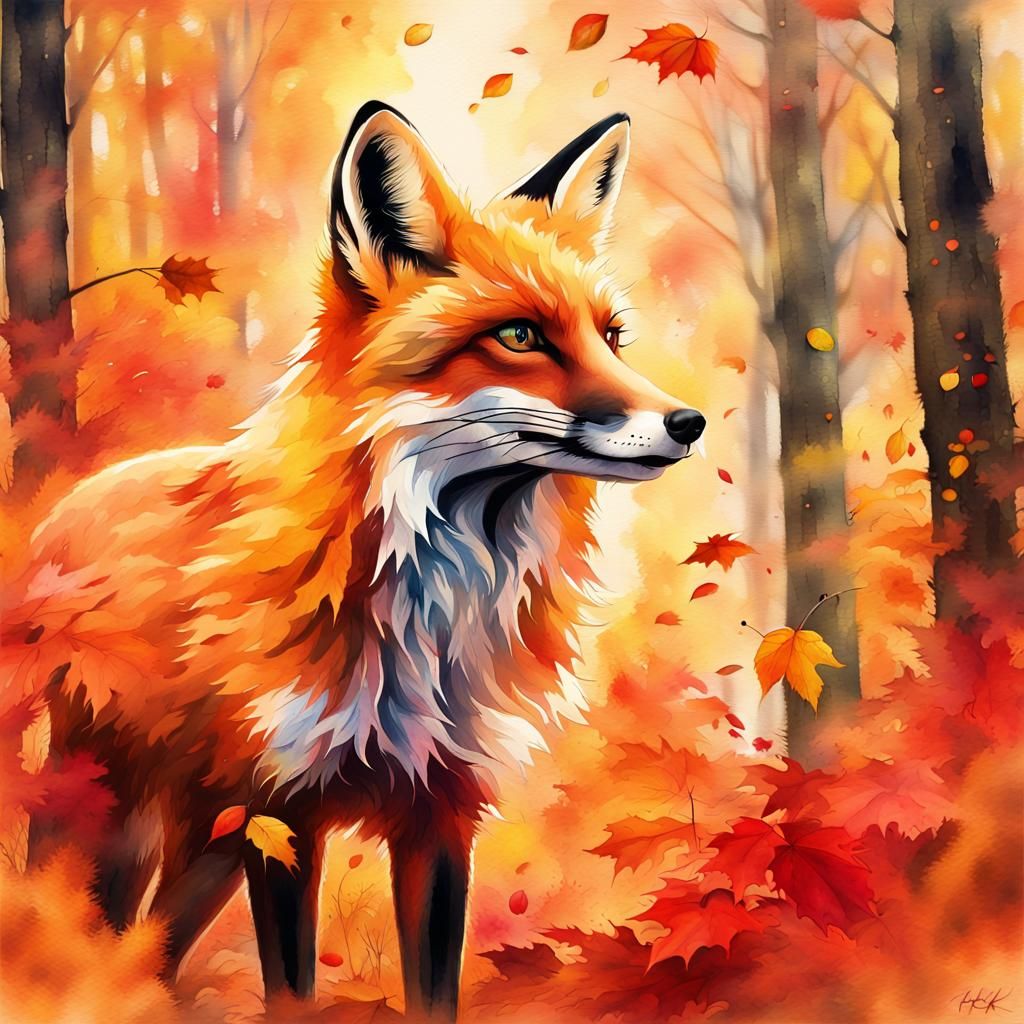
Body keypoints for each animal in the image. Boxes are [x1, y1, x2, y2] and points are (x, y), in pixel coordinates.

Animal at [4, 101, 706, 1019]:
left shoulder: (441, 810)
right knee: (92, 928)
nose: (688, 423)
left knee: (150, 947)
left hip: (206, 845)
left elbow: (434, 989)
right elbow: (293, 992)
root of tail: (75, 501)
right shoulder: (283, 817)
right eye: (521, 335)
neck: (430, 609)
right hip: (118, 813)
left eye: (613, 337)